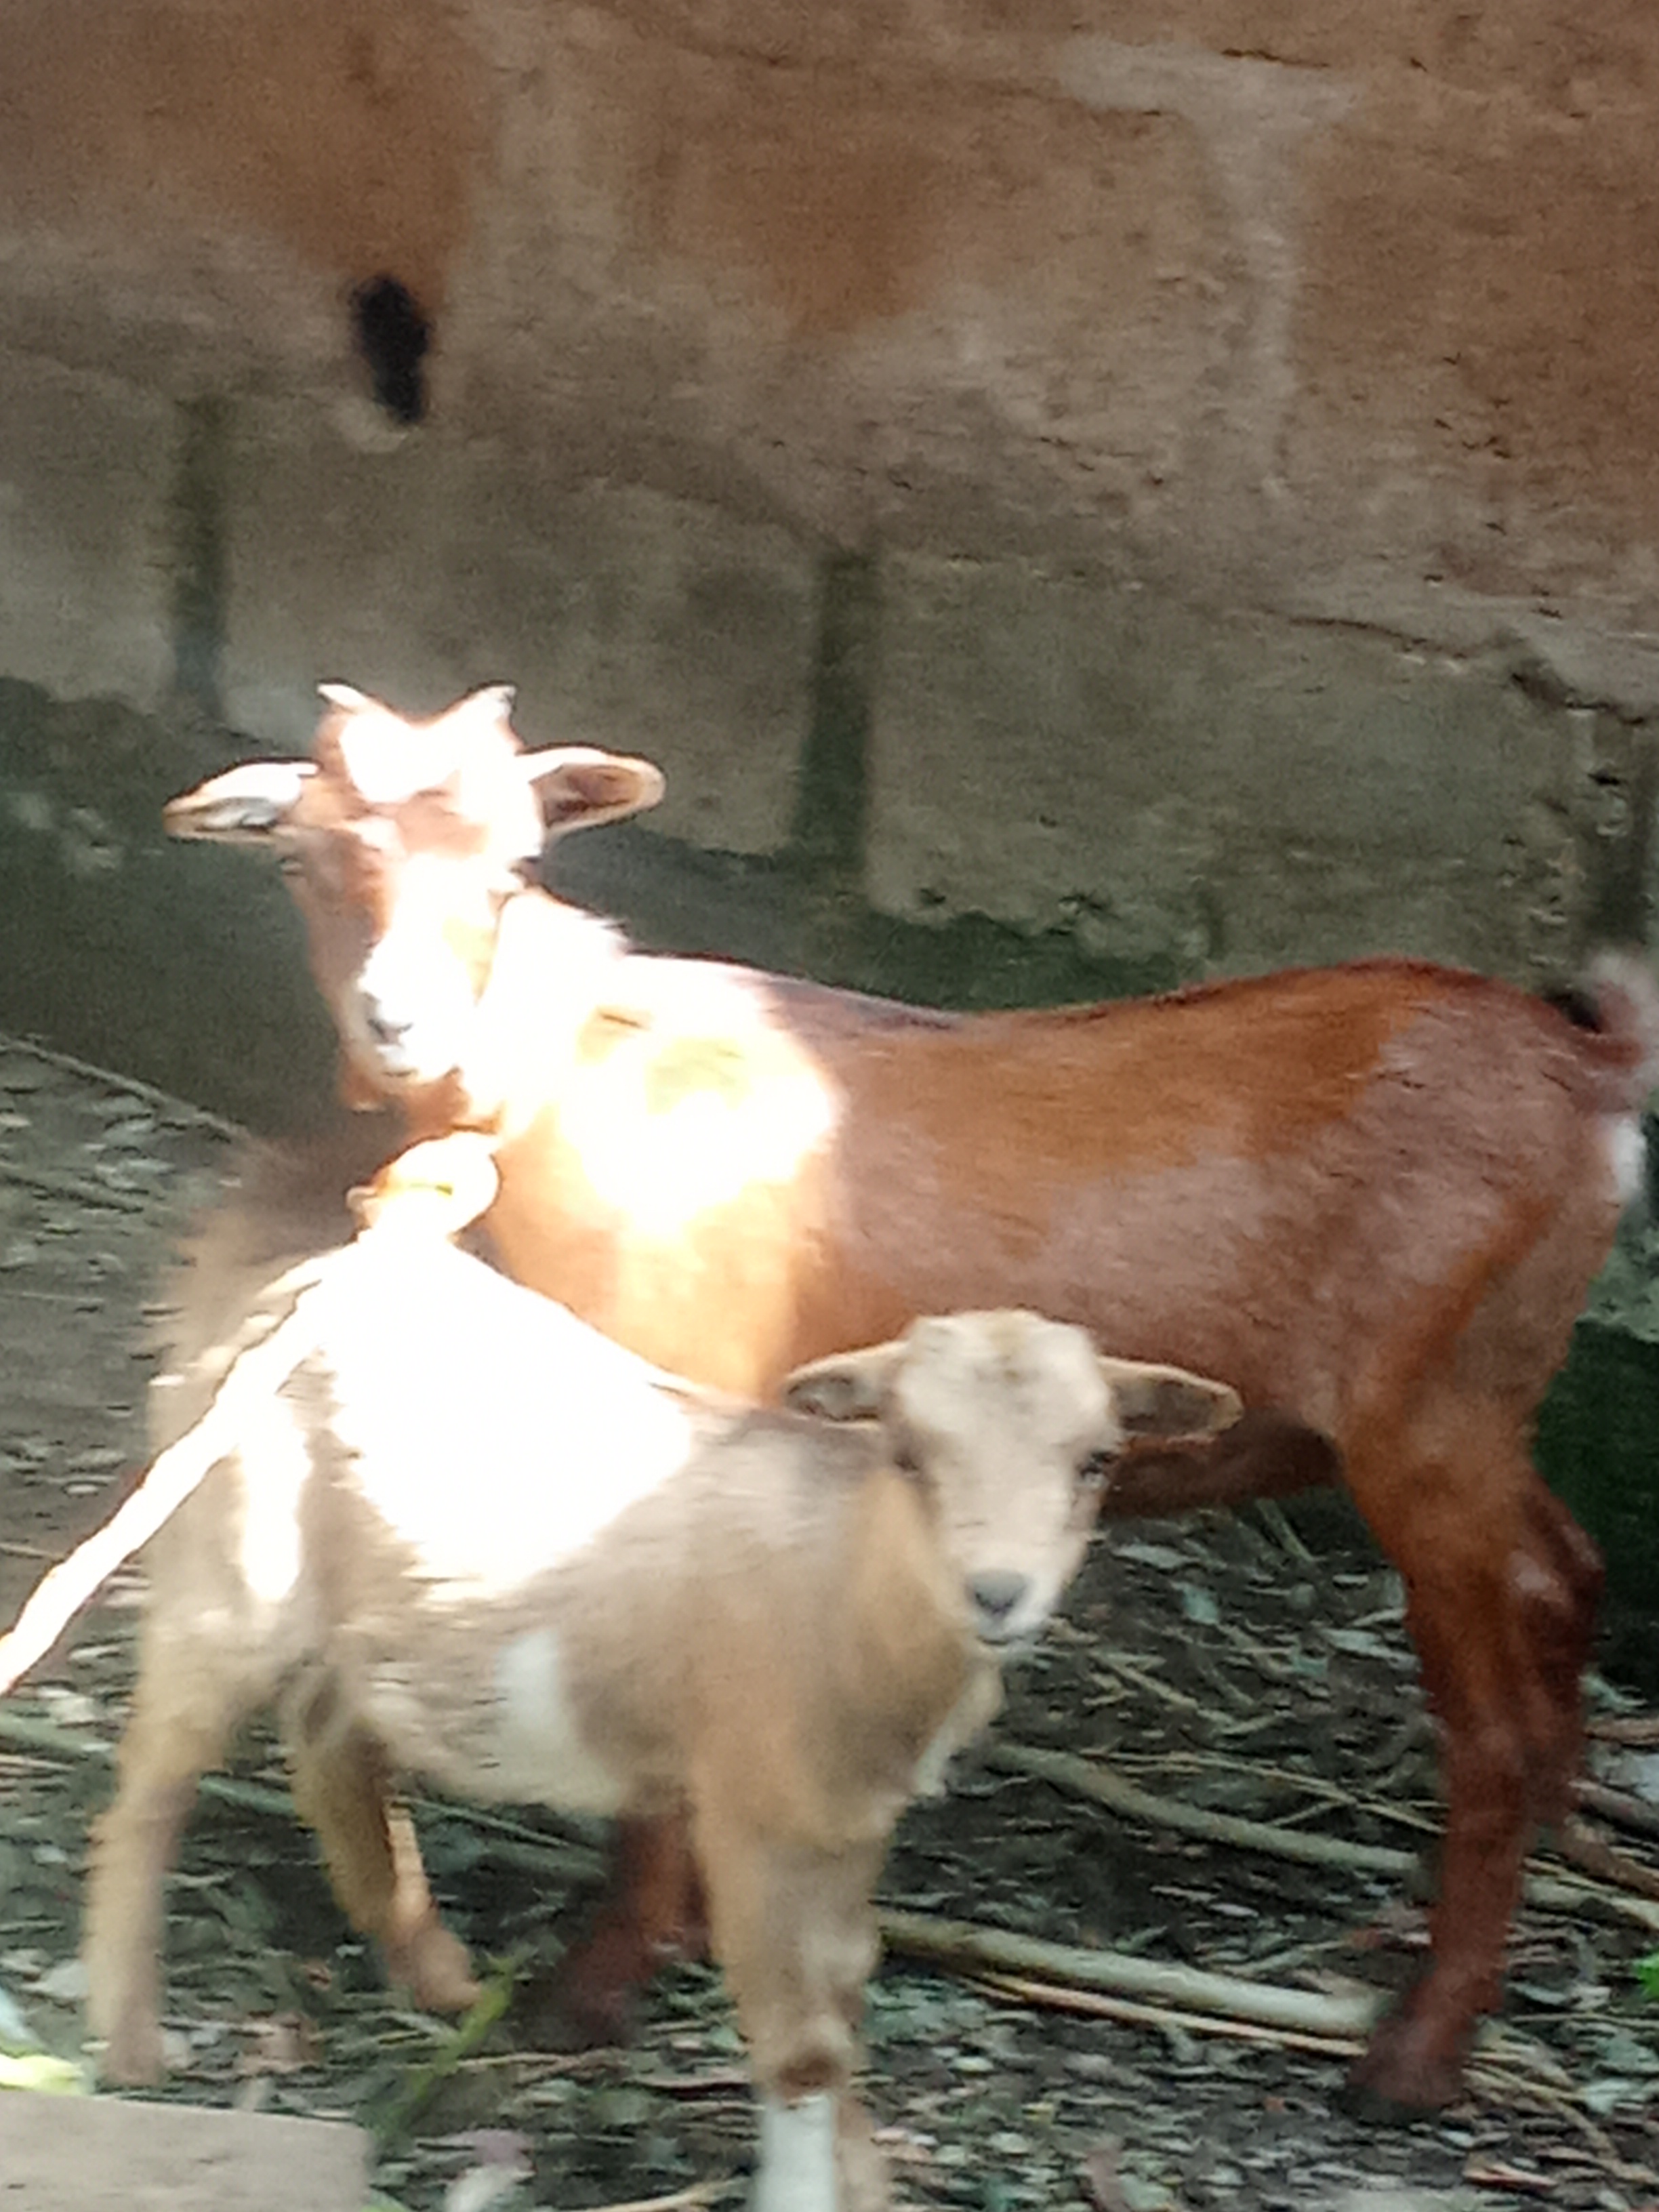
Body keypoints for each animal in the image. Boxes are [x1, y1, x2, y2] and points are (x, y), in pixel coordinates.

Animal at [80, 1131, 1238, 2212]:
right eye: (907, 1452)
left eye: (1096, 1462)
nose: (999, 1593)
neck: (850, 1585)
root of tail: (279, 1252)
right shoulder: (754, 1813)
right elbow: (799, 2041)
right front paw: (806, 2190)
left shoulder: (844, 1823)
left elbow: (845, 1995)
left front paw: (864, 2175)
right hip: (229, 1557)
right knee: (156, 1778)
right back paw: (129, 2033)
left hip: (346, 1603)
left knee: (330, 1742)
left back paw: (437, 1975)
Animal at [166, 682, 1659, 2114]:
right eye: (300, 859)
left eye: (517, 865)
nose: (399, 1024)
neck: (567, 1094)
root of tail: (1589, 1074)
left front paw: (595, 1988)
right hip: (1473, 1399)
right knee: (1563, 1568)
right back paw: (1556, 1855)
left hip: (1427, 1416)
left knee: (1490, 1725)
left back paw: (1416, 2056)